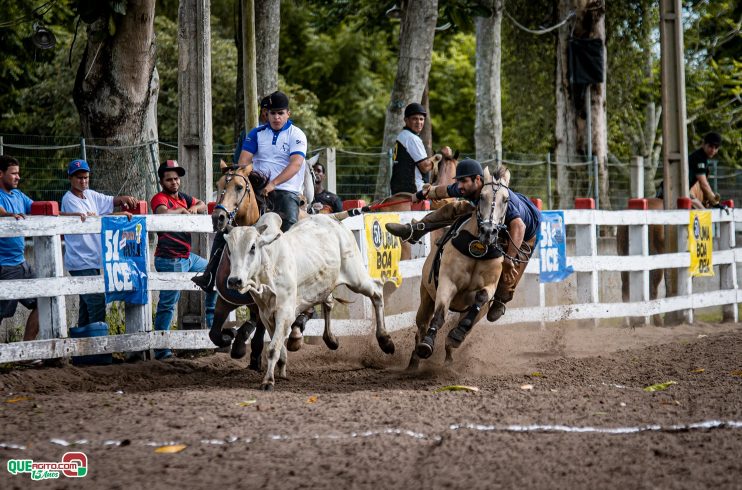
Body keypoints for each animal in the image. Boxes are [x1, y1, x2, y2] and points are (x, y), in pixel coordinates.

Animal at [224, 212, 396, 388]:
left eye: (252, 247)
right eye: (229, 250)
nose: (234, 280)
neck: (269, 265)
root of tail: (332, 218)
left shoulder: (285, 313)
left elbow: (272, 349)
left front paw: (268, 381)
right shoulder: (266, 315)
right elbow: (279, 347)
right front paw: (282, 372)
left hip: (357, 278)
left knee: (377, 291)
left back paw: (385, 341)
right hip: (326, 283)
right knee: (329, 302)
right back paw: (331, 339)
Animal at [410, 166, 516, 368]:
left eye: (506, 199)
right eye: (482, 196)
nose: (488, 232)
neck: (478, 250)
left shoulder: (489, 287)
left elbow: (480, 298)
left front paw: (457, 334)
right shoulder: (447, 282)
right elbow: (439, 316)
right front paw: (427, 344)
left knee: (456, 336)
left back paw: (451, 356)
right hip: (426, 296)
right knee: (421, 327)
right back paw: (414, 360)